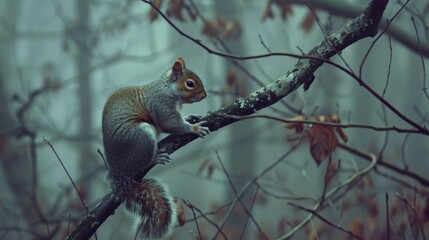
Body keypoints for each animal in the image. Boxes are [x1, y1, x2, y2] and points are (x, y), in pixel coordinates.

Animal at [103, 57, 211, 239]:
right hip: (142, 137)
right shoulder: (162, 105)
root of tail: (118, 168)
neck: (167, 88)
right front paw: (194, 128)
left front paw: (190, 117)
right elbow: (171, 123)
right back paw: (155, 157)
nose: (204, 95)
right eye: (190, 83)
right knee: (144, 161)